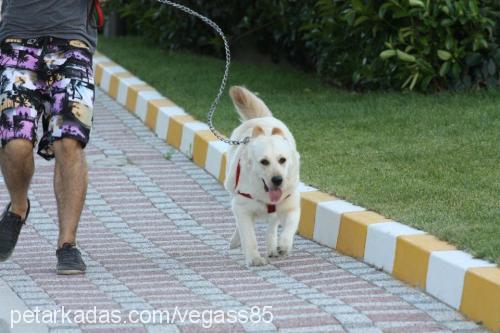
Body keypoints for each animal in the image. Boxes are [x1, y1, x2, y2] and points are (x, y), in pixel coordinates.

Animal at [227, 87, 300, 266]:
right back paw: (236, 241)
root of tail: (260, 118)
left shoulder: (291, 204)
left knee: (273, 224)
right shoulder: (242, 206)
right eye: (264, 162)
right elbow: (248, 235)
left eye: (282, 160)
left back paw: (272, 246)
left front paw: (283, 246)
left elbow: (290, 226)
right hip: (232, 190)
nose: (278, 180)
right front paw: (254, 258)